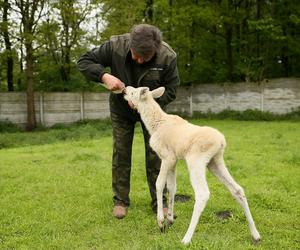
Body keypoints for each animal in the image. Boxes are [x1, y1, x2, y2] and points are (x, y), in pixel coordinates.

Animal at [123, 85, 262, 244]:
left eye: (133, 92)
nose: (124, 89)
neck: (154, 125)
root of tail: (221, 142)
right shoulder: (174, 159)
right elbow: (172, 187)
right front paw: (170, 220)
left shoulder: (167, 157)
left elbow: (159, 184)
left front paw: (161, 222)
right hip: (215, 161)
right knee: (237, 189)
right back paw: (255, 234)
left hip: (196, 161)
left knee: (202, 194)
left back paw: (186, 238)